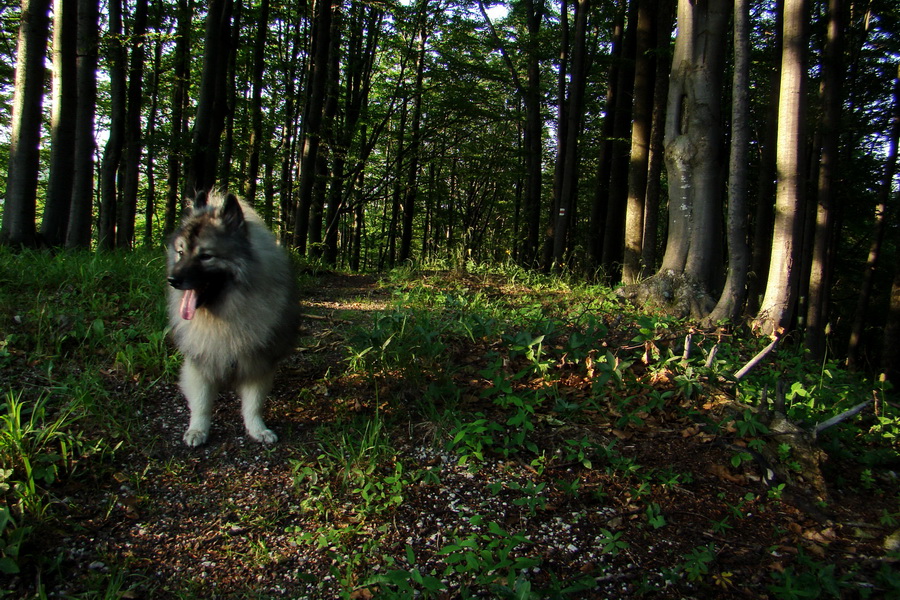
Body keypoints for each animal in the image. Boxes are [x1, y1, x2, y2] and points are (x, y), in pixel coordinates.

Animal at [165, 191, 298, 446]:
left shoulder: (258, 361)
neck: (225, 313)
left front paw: (257, 429)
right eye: (181, 252)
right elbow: (201, 402)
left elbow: (254, 404)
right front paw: (198, 430)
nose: (172, 280)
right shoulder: (200, 359)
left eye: (206, 256)